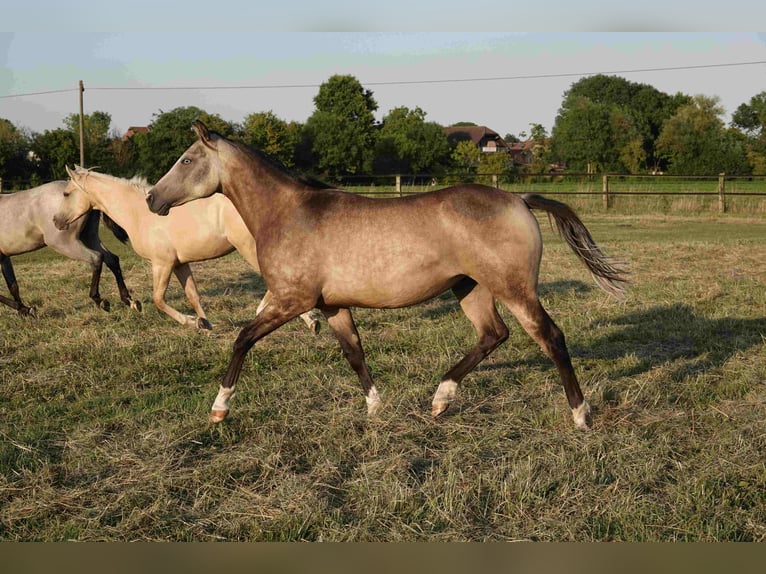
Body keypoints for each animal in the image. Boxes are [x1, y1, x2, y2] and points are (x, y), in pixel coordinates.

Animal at [0, 180, 139, 317]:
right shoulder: (4, 258)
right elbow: (13, 286)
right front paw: (24, 310)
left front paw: (25, 309)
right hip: (88, 236)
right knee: (112, 259)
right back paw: (128, 300)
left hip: (63, 243)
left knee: (96, 257)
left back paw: (99, 300)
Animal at [54, 166, 320, 333]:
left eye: (66, 193)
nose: (56, 221)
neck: (139, 214)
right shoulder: (180, 264)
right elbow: (193, 295)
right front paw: (206, 325)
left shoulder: (162, 263)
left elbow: (158, 299)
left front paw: (193, 323)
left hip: (248, 247)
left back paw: (305, 319)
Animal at [146, 121, 628, 430]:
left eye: (186, 160)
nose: (152, 198)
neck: (288, 213)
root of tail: (519, 199)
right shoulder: (332, 305)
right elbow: (354, 353)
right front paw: (376, 408)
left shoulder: (290, 300)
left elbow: (243, 339)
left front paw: (219, 408)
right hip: (470, 288)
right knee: (493, 335)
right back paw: (440, 399)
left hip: (514, 288)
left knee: (550, 338)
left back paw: (580, 414)